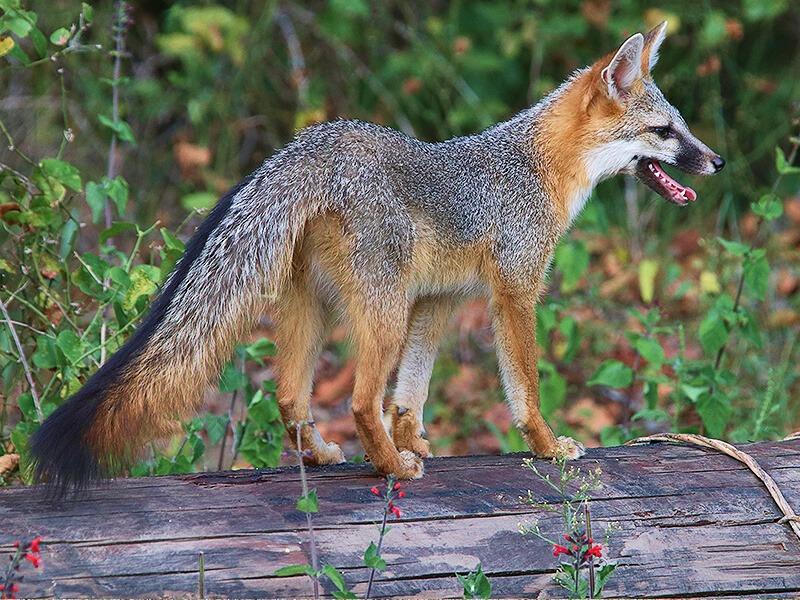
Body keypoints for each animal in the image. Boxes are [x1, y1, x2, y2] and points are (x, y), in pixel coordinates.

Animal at [31, 22, 725, 491]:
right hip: (380, 315)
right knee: (360, 403)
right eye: (665, 132)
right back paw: (392, 467)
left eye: (684, 127)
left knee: (291, 397)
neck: (534, 168)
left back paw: (325, 456)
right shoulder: (514, 293)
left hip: (318, 312)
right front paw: (548, 447)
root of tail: (314, 144)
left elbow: (410, 393)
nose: (715, 161)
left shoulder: (439, 302)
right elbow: (520, 388)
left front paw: (417, 435)